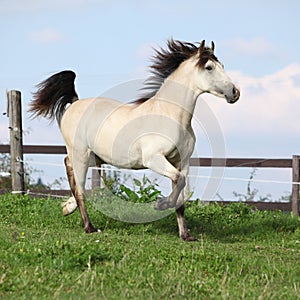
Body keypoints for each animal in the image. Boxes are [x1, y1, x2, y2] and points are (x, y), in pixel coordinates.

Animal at [28, 39, 239, 241]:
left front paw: (186, 235)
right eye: (209, 67)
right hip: (81, 153)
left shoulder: (181, 161)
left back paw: (68, 207)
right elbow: (178, 182)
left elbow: (181, 196)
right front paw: (160, 205)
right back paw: (89, 227)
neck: (170, 115)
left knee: (68, 167)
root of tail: (74, 103)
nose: (235, 92)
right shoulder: (154, 159)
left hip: (93, 157)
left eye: (221, 65)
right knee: (80, 189)